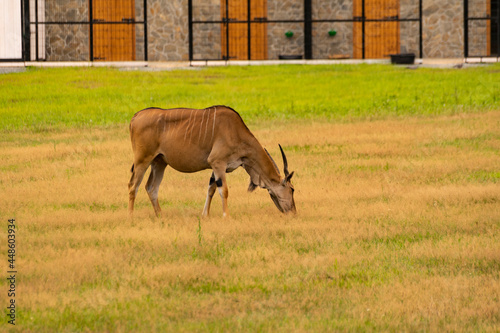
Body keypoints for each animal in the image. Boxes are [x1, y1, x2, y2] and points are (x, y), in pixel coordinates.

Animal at [127, 105, 296, 217]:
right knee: (133, 186)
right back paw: (131, 217)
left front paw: (205, 215)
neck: (236, 131)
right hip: (142, 160)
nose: (293, 211)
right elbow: (224, 190)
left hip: (159, 162)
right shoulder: (218, 163)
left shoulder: (216, 167)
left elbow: (211, 189)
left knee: (151, 187)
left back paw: (160, 216)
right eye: (292, 189)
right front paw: (226, 216)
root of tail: (136, 116)